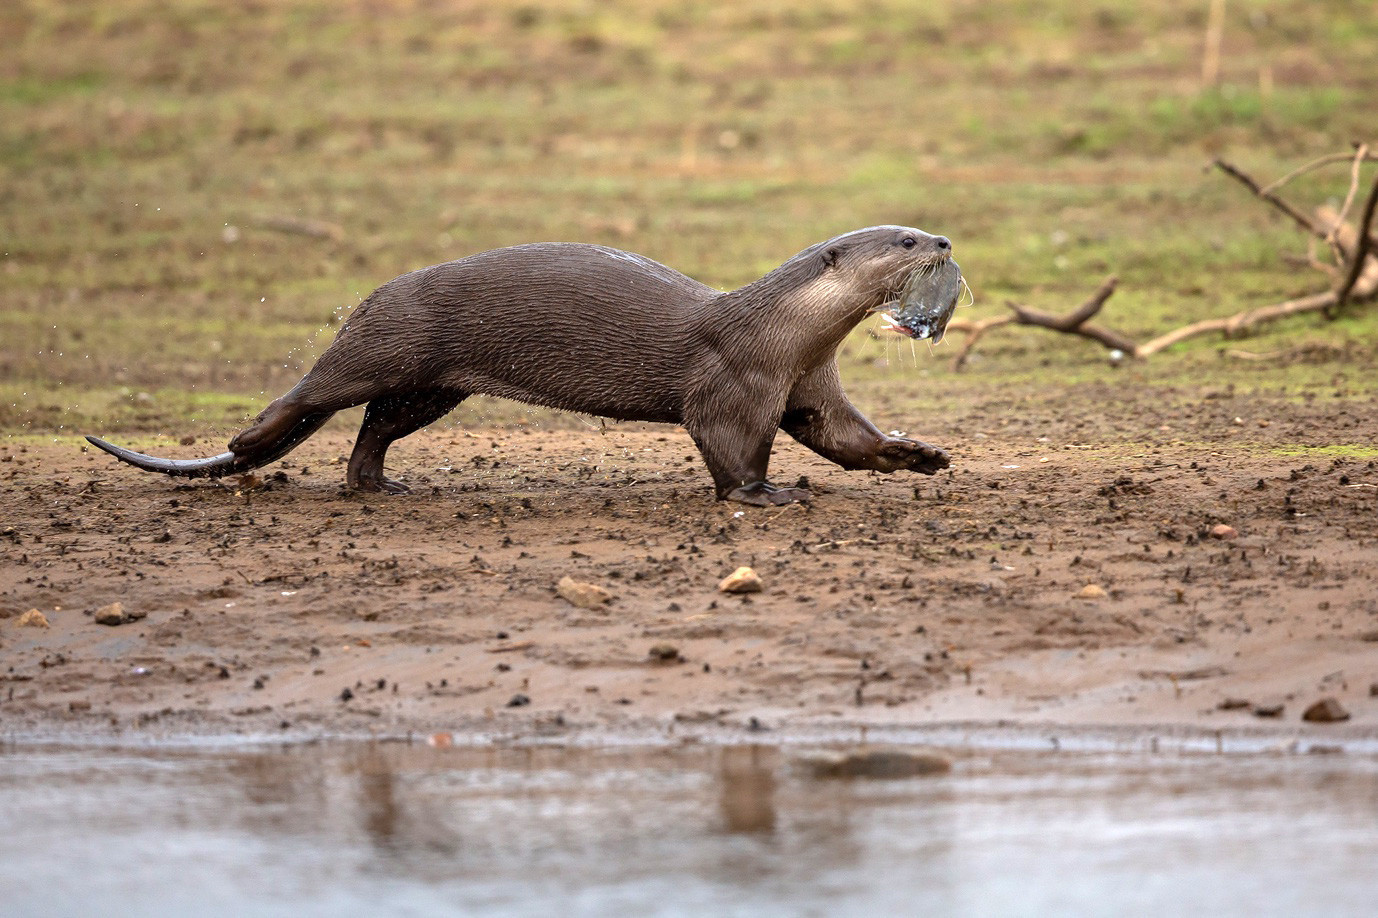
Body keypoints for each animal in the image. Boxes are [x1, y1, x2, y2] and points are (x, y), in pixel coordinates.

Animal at [87, 226, 954, 506]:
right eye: (904, 239)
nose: (944, 241)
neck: (781, 334)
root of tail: (375, 294)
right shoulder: (733, 382)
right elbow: (729, 446)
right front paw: (765, 494)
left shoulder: (808, 385)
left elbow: (844, 437)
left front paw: (916, 454)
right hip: (390, 342)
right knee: (315, 390)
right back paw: (251, 439)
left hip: (433, 387)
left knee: (374, 428)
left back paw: (381, 487)